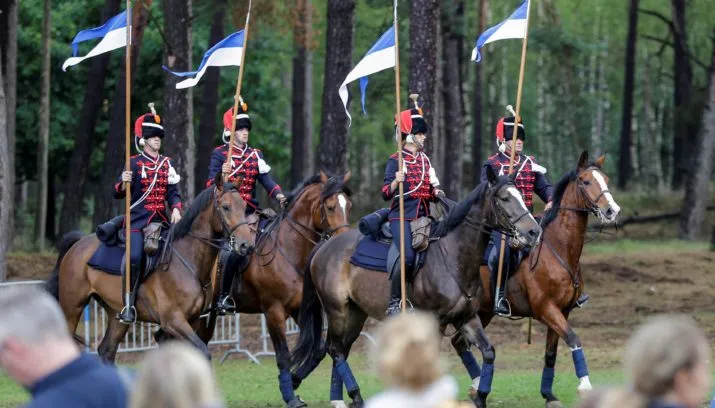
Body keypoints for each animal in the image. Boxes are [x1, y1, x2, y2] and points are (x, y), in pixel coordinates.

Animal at [45, 175, 255, 360]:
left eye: (245, 207)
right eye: (226, 207)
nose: (247, 245)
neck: (189, 260)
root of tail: (78, 244)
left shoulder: (192, 320)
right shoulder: (174, 321)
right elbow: (202, 351)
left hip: (116, 314)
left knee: (107, 350)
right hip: (72, 307)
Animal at [290, 167, 544, 408]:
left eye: (520, 196)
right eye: (504, 198)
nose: (534, 231)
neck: (454, 256)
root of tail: (324, 246)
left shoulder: (467, 317)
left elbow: (489, 352)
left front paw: (480, 396)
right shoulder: (435, 321)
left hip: (355, 314)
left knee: (339, 349)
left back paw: (341, 399)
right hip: (338, 311)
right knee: (334, 350)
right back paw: (354, 396)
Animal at [456, 151, 624, 408]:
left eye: (605, 179)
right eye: (586, 181)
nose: (612, 210)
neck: (558, 249)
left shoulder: (563, 311)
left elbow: (551, 354)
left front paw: (549, 395)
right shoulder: (546, 309)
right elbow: (573, 338)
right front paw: (585, 386)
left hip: (481, 313)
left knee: (459, 342)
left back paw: (476, 388)